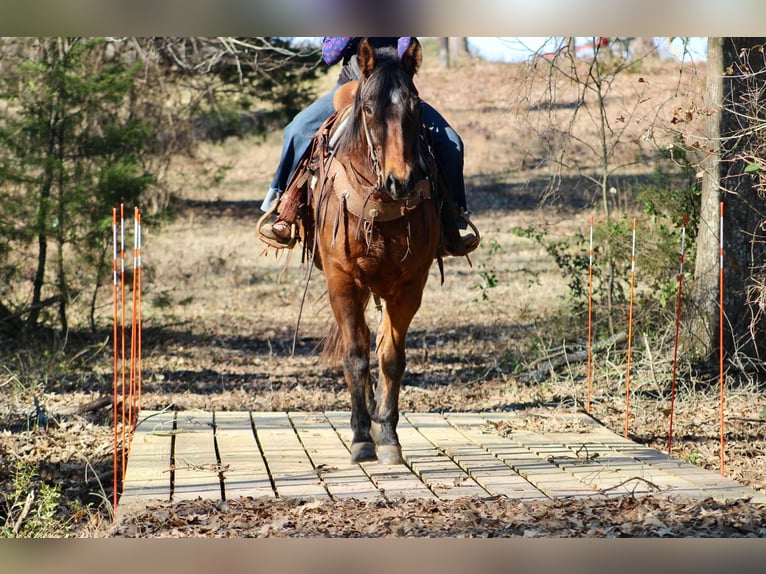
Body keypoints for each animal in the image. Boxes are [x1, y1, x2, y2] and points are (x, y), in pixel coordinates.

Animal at [302, 38, 441, 465]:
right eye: (367, 109)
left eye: (416, 106)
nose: (402, 181)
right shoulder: (343, 281)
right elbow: (356, 356)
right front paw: (362, 436)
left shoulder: (410, 285)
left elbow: (390, 358)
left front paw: (388, 436)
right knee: (360, 343)